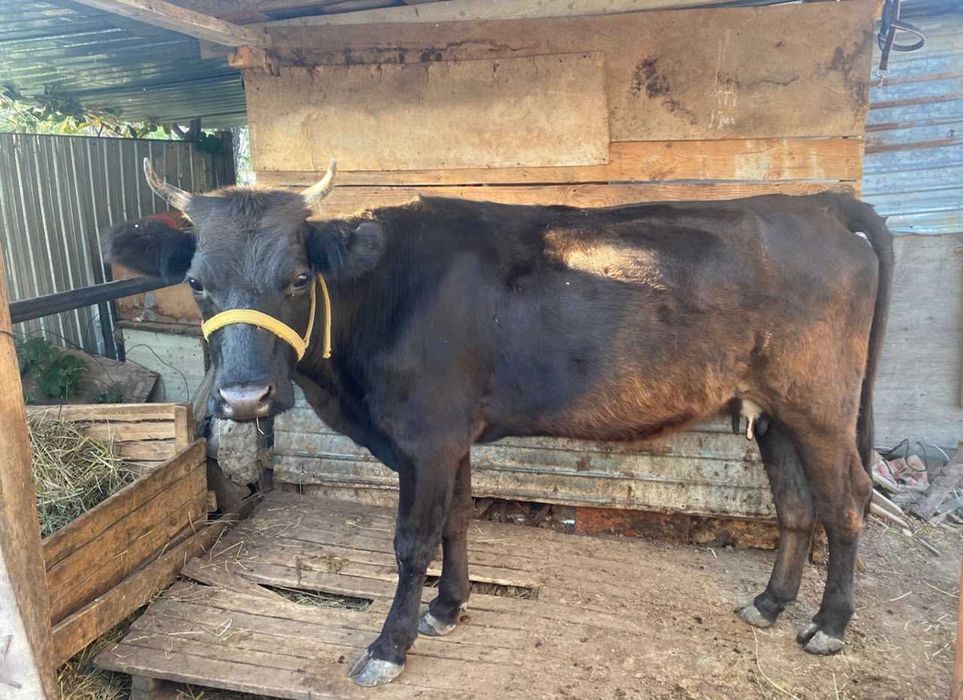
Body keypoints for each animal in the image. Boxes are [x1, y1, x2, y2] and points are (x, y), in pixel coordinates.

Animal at [106, 159, 892, 687]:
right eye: (197, 283)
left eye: (298, 278)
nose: (244, 400)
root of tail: (819, 205)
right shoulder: (451, 435)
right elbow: (456, 521)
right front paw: (447, 609)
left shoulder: (426, 435)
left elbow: (411, 541)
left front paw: (388, 648)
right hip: (774, 409)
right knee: (795, 505)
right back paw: (770, 602)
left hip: (822, 403)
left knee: (846, 501)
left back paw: (827, 626)